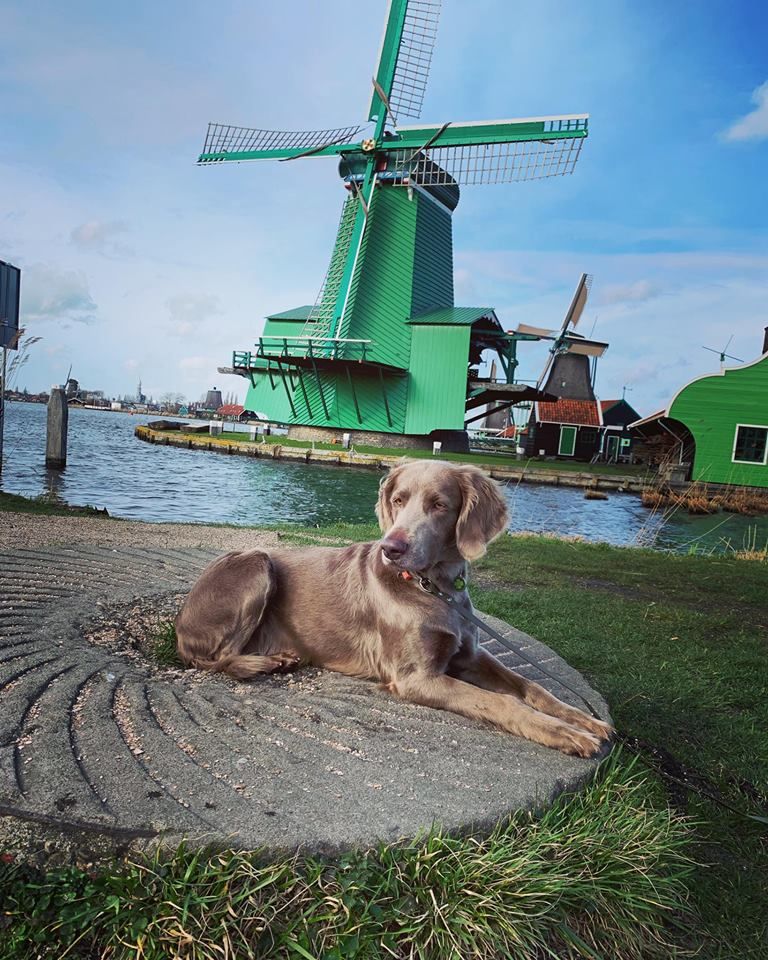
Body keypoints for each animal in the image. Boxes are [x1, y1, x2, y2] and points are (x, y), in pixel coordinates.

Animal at [174, 460, 612, 756]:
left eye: (439, 505)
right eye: (398, 500)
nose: (391, 548)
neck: (435, 589)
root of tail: (181, 624)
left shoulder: (468, 654)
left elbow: (530, 686)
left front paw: (584, 720)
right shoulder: (414, 677)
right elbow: (502, 701)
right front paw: (564, 733)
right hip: (256, 562)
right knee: (217, 658)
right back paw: (266, 662)